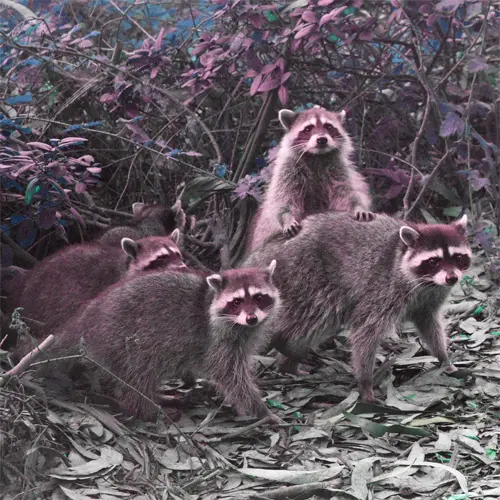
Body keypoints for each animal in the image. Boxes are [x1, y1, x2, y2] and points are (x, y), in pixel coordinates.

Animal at [38, 262, 282, 422]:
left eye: (259, 298)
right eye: (237, 302)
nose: (252, 318)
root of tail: (86, 317)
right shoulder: (216, 340)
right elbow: (230, 375)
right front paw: (260, 409)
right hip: (123, 338)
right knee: (139, 374)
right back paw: (144, 409)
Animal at [244, 213, 470, 400]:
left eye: (458, 257)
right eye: (433, 261)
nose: (452, 278)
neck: (428, 282)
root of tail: (263, 253)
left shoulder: (429, 300)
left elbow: (430, 326)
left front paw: (444, 358)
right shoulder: (383, 289)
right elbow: (365, 332)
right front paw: (366, 382)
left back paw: (288, 363)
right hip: (305, 278)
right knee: (312, 318)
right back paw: (285, 347)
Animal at [248, 106, 374, 254]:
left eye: (329, 126)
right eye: (308, 128)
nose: (322, 139)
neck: (316, 156)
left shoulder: (338, 170)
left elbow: (346, 192)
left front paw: (358, 206)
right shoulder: (288, 171)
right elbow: (283, 199)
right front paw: (287, 217)